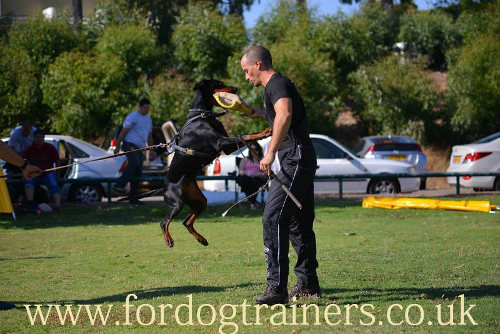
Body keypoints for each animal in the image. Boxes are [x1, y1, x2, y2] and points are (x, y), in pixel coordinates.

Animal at [122, 79, 270, 247]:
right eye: (218, 83)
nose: (235, 88)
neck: (201, 115)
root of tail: (163, 187)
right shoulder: (220, 142)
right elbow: (246, 136)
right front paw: (265, 132)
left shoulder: (227, 147)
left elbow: (248, 136)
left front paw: (265, 132)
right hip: (177, 202)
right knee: (164, 222)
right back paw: (169, 239)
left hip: (199, 200)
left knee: (186, 222)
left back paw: (201, 239)